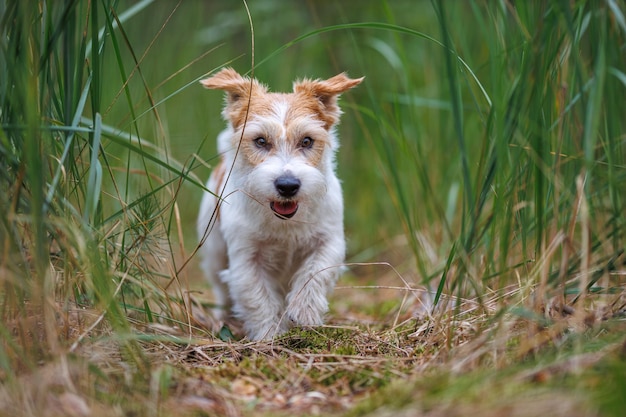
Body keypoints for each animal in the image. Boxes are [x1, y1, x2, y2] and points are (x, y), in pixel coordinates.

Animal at [195, 67, 360, 342]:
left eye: (307, 141)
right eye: (261, 141)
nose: (287, 185)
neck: (284, 222)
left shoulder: (329, 242)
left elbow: (316, 272)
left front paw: (304, 311)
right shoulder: (247, 260)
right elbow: (258, 299)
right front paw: (270, 335)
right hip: (215, 253)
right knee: (221, 291)